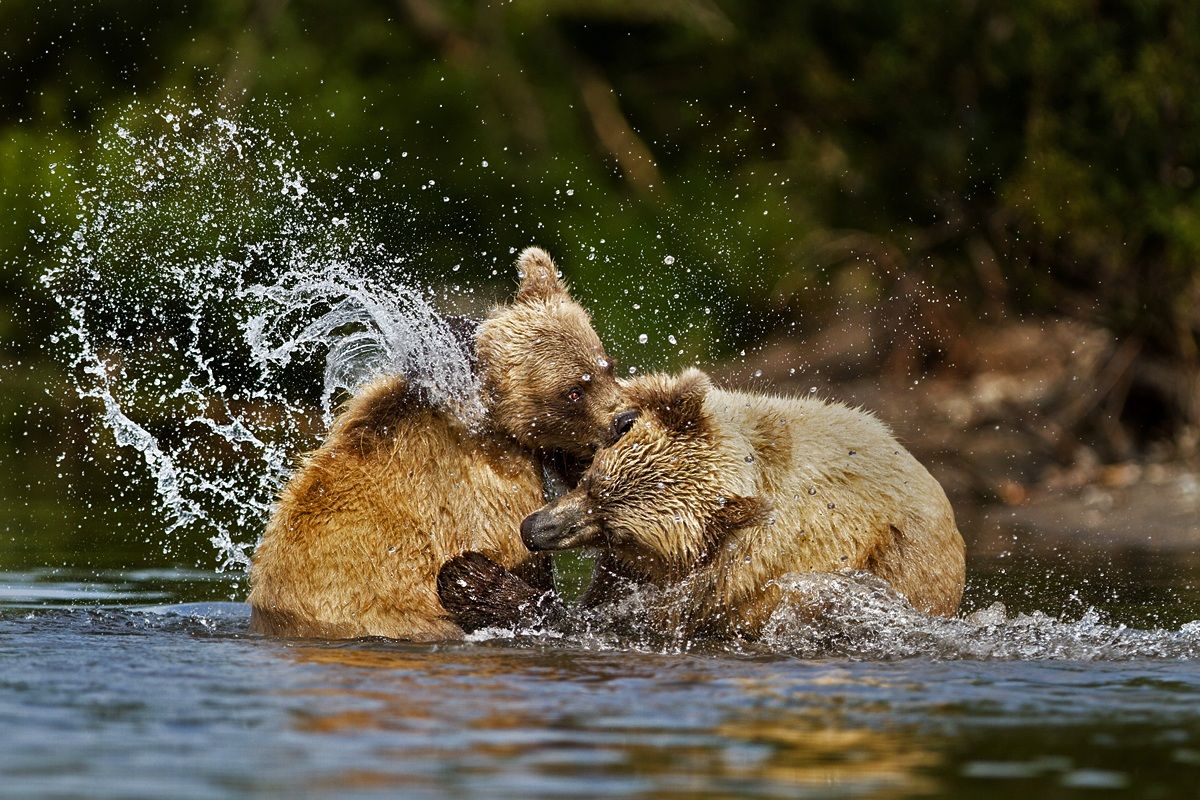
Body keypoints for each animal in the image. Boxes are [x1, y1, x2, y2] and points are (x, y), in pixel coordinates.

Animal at [439, 368, 965, 642]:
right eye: (591, 481)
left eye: (617, 531)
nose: (533, 530)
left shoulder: (734, 576)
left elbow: (610, 621)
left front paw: (471, 581)